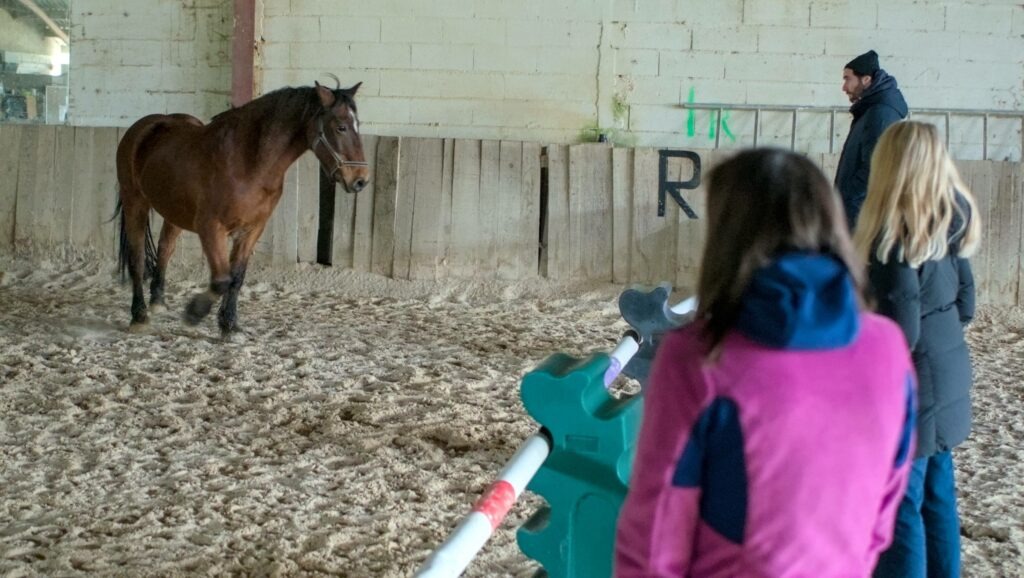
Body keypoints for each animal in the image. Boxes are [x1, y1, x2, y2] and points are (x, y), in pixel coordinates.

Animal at [115, 78, 368, 336]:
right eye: (341, 127)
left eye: (358, 124)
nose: (360, 180)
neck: (246, 161)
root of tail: (144, 126)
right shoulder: (211, 227)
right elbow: (221, 279)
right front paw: (194, 313)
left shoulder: (252, 229)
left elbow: (236, 278)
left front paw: (229, 325)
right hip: (135, 203)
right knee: (137, 260)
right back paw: (139, 316)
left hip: (174, 210)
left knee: (165, 249)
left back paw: (158, 301)